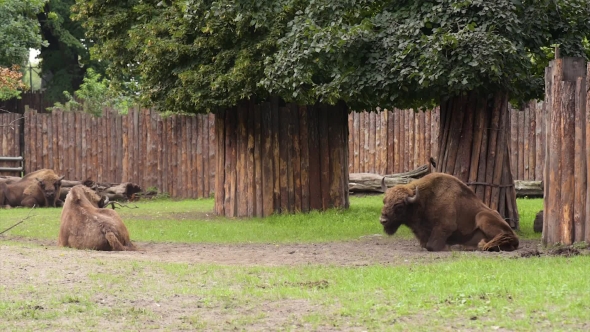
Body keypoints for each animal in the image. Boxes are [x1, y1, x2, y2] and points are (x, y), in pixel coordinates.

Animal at [382, 171, 520, 252]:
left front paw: (447, 246)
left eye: (399, 206)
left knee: (506, 236)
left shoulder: (445, 227)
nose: (383, 220)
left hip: (483, 217)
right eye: (384, 201)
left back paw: (482, 245)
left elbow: (431, 245)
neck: (423, 200)